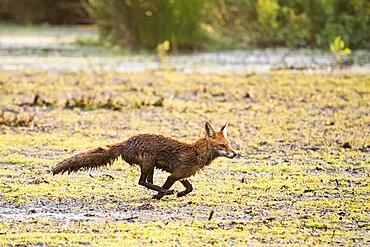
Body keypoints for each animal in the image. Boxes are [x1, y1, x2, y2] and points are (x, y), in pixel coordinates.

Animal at [52, 121, 237, 199]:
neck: (196, 153)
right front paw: (159, 196)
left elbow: (190, 187)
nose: (235, 154)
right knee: (142, 181)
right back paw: (163, 192)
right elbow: (168, 185)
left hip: (152, 165)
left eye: (229, 145)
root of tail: (126, 142)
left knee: (147, 181)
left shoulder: (180, 175)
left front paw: (180, 193)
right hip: (149, 161)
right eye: (222, 146)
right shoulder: (174, 175)